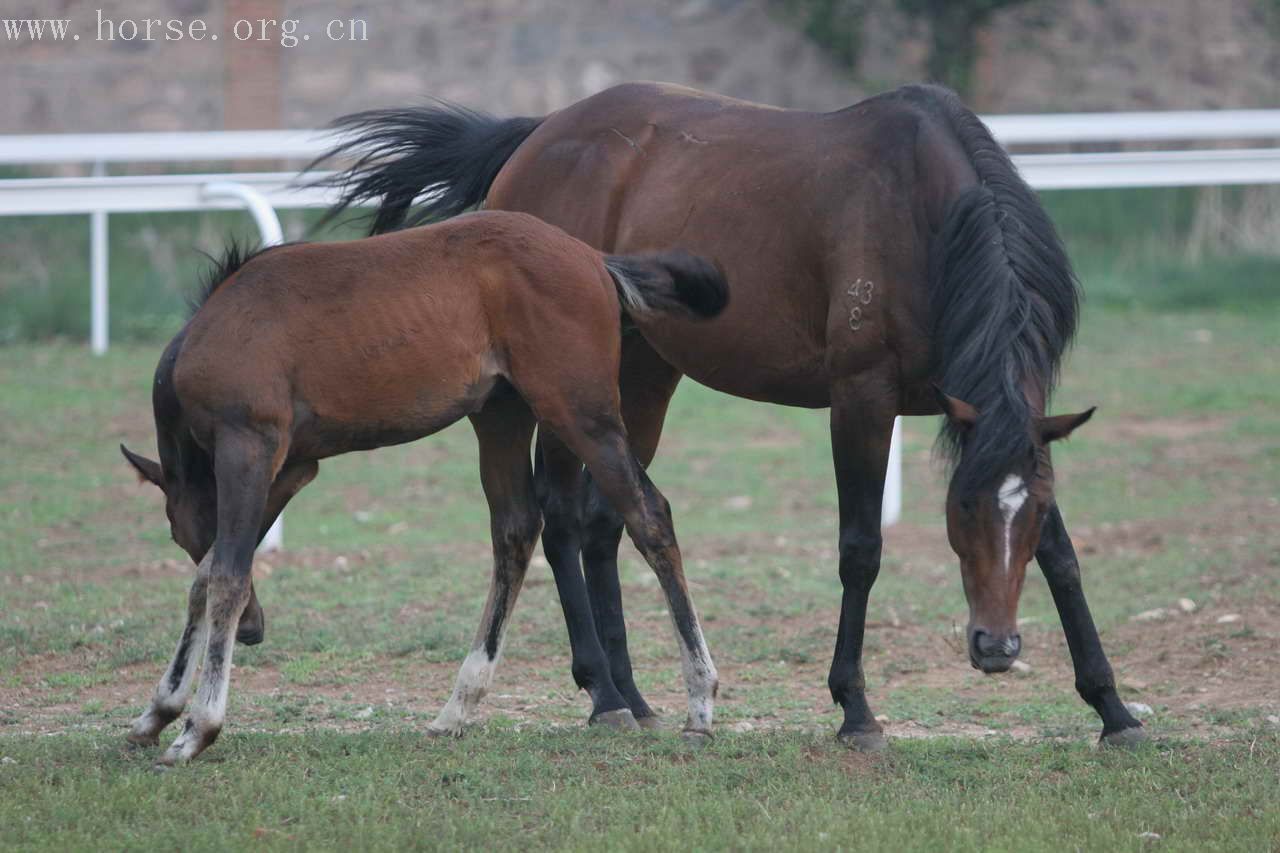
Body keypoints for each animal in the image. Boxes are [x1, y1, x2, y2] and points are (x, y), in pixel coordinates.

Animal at [120, 211, 732, 763]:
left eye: (177, 531)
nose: (253, 630)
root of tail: (595, 259)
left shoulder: (248, 446)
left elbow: (224, 576)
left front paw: (195, 728)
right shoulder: (292, 466)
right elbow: (208, 578)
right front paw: (156, 712)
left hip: (580, 411)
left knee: (648, 514)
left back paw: (700, 705)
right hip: (501, 414)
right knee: (516, 531)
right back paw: (458, 707)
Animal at [312, 79, 1152, 742]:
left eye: (1027, 508)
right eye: (963, 506)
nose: (995, 648)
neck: (924, 219)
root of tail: (540, 134)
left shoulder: (1001, 424)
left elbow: (1063, 556)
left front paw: (1111, 707)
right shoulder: (861, 400)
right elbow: (860, 549)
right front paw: (854, 708)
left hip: (643, 374)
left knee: (606, 519)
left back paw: (634, 695)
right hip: (563, 386)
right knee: (561, 514)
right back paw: (604, 693)